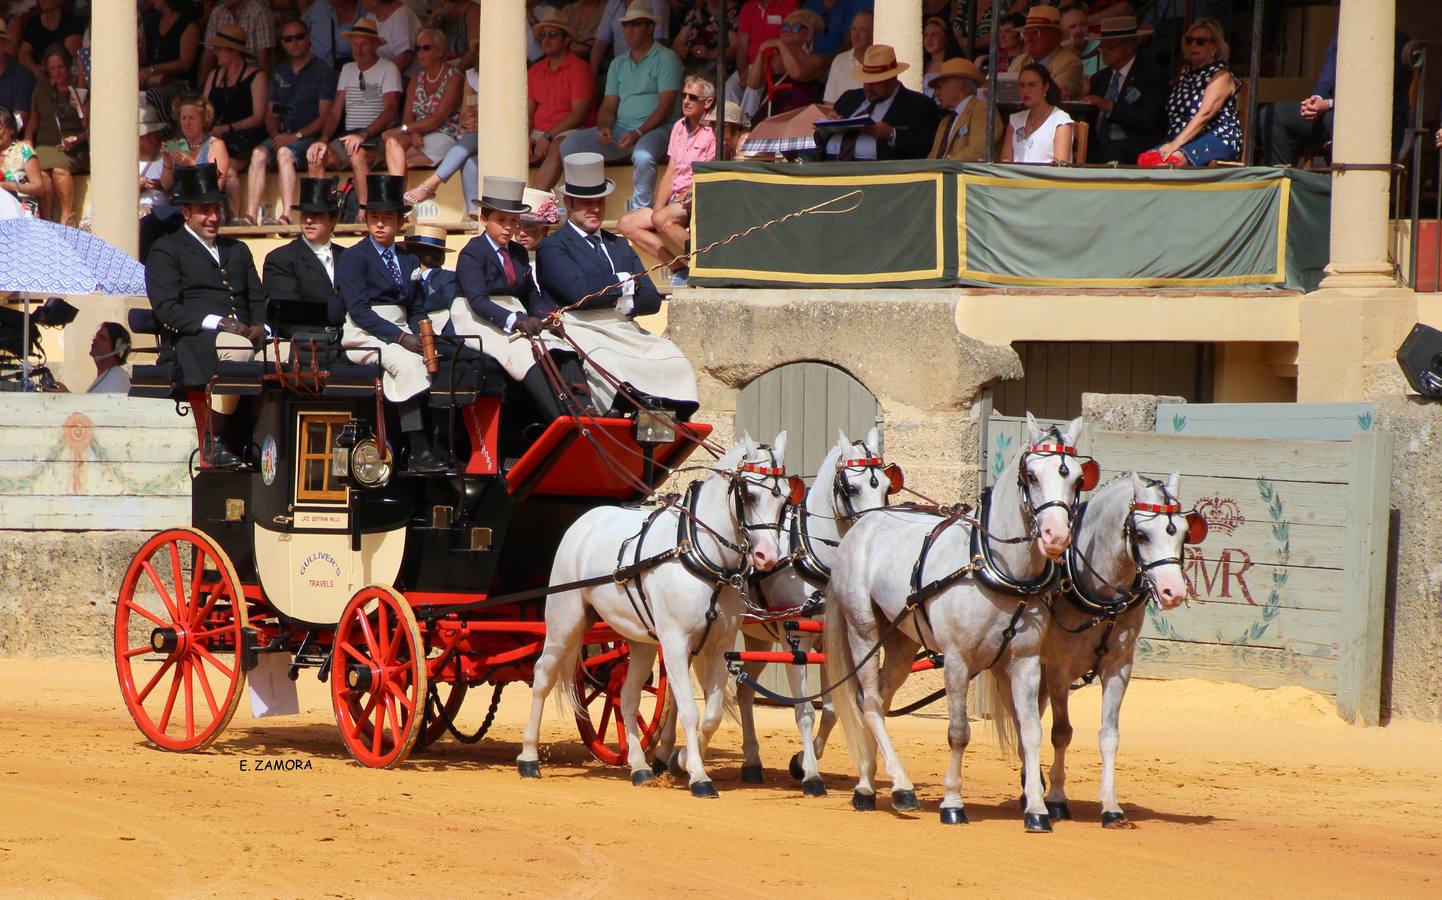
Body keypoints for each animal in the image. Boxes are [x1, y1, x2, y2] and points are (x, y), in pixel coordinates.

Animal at [519, 435, 801, 796]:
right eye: (749, 494)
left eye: (784, 498)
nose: (766, 556)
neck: (702, 555)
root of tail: (586, 519)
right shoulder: (676, 643)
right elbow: (691, 712)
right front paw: (699, 776)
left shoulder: (719, 646)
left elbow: (710, 715)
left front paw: (680, 761)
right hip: (565, 621)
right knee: (543, 676)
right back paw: (529, 757)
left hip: (640, 642)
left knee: (625, 696)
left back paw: (639, 766)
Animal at [738, 429, 894, 796]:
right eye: (852, 488)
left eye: (886, 486)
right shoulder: (796, 641)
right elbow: (805, 710)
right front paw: (811, 775)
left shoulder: (829, 639)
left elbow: (833, 708)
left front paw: (802, 761)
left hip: (757, 637)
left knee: (744, 690)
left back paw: (751, 761)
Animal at [824, 415, 1090, 830]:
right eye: (1030, 475)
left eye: (1077, 478)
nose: (1056, 536)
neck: (995, 567)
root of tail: (861, 527)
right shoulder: (956, 661)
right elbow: (958, 732)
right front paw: (952, 803)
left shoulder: (1025, 662)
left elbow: (1030, 732)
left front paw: (1036, 808)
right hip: (863, 631)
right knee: (868, 702)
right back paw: (895, 787)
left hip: (901, 643)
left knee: (877, 700)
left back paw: (870, 782)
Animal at [1044, 470, 1199, 830]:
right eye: (1141, 534)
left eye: (1185, 533)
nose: (1173, 591)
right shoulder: (1058, 670)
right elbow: (1061, 732)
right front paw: (1056, 798)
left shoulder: (1118, 668)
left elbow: (1109, 736)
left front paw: (1111, 807)